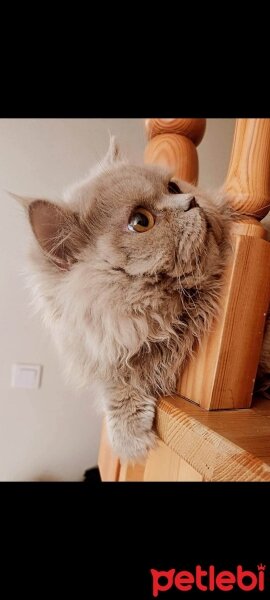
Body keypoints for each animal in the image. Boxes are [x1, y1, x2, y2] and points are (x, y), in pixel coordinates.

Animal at [15, 138, 270, 462]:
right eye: (140, 222)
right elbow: (117, 386)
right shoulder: (110, 352)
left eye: (172, 187)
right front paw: (130, 441)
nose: (191, 200)